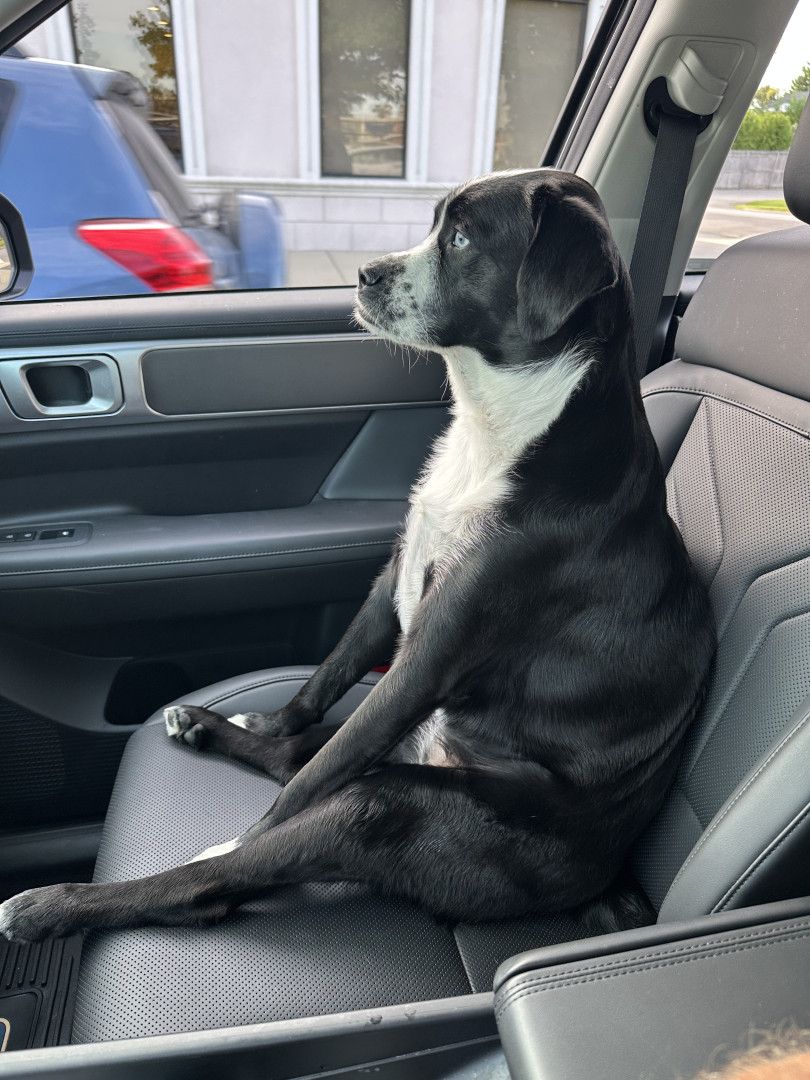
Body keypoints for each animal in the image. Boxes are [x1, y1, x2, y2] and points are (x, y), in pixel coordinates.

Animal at [0, 169, 715, 942]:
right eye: (435, 224)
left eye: (463, 239)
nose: (367, 274)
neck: (508, 429)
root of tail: (602, 882)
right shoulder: (395, 577)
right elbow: (327, 676)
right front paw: (267, 719)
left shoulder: (428, 654)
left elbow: (303, 787)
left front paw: (236, 839)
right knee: (297, 757)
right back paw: (206, 726)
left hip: (388, 806)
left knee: (230, 871)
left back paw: (56, 904)